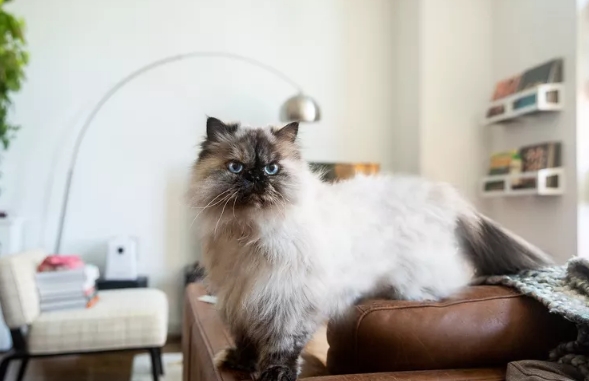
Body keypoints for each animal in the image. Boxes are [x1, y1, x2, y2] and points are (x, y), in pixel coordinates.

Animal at [188, 116, 552, 380]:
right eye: (236, 167)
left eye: (272, 169)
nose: (255, 178)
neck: (249, 233)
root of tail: (436, 193)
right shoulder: (239, 297)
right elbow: (246, 338)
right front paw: (239, 363)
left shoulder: (287, 300)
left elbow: (282, 346)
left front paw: (274, 374)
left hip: (416, 278)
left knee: (459, 279)